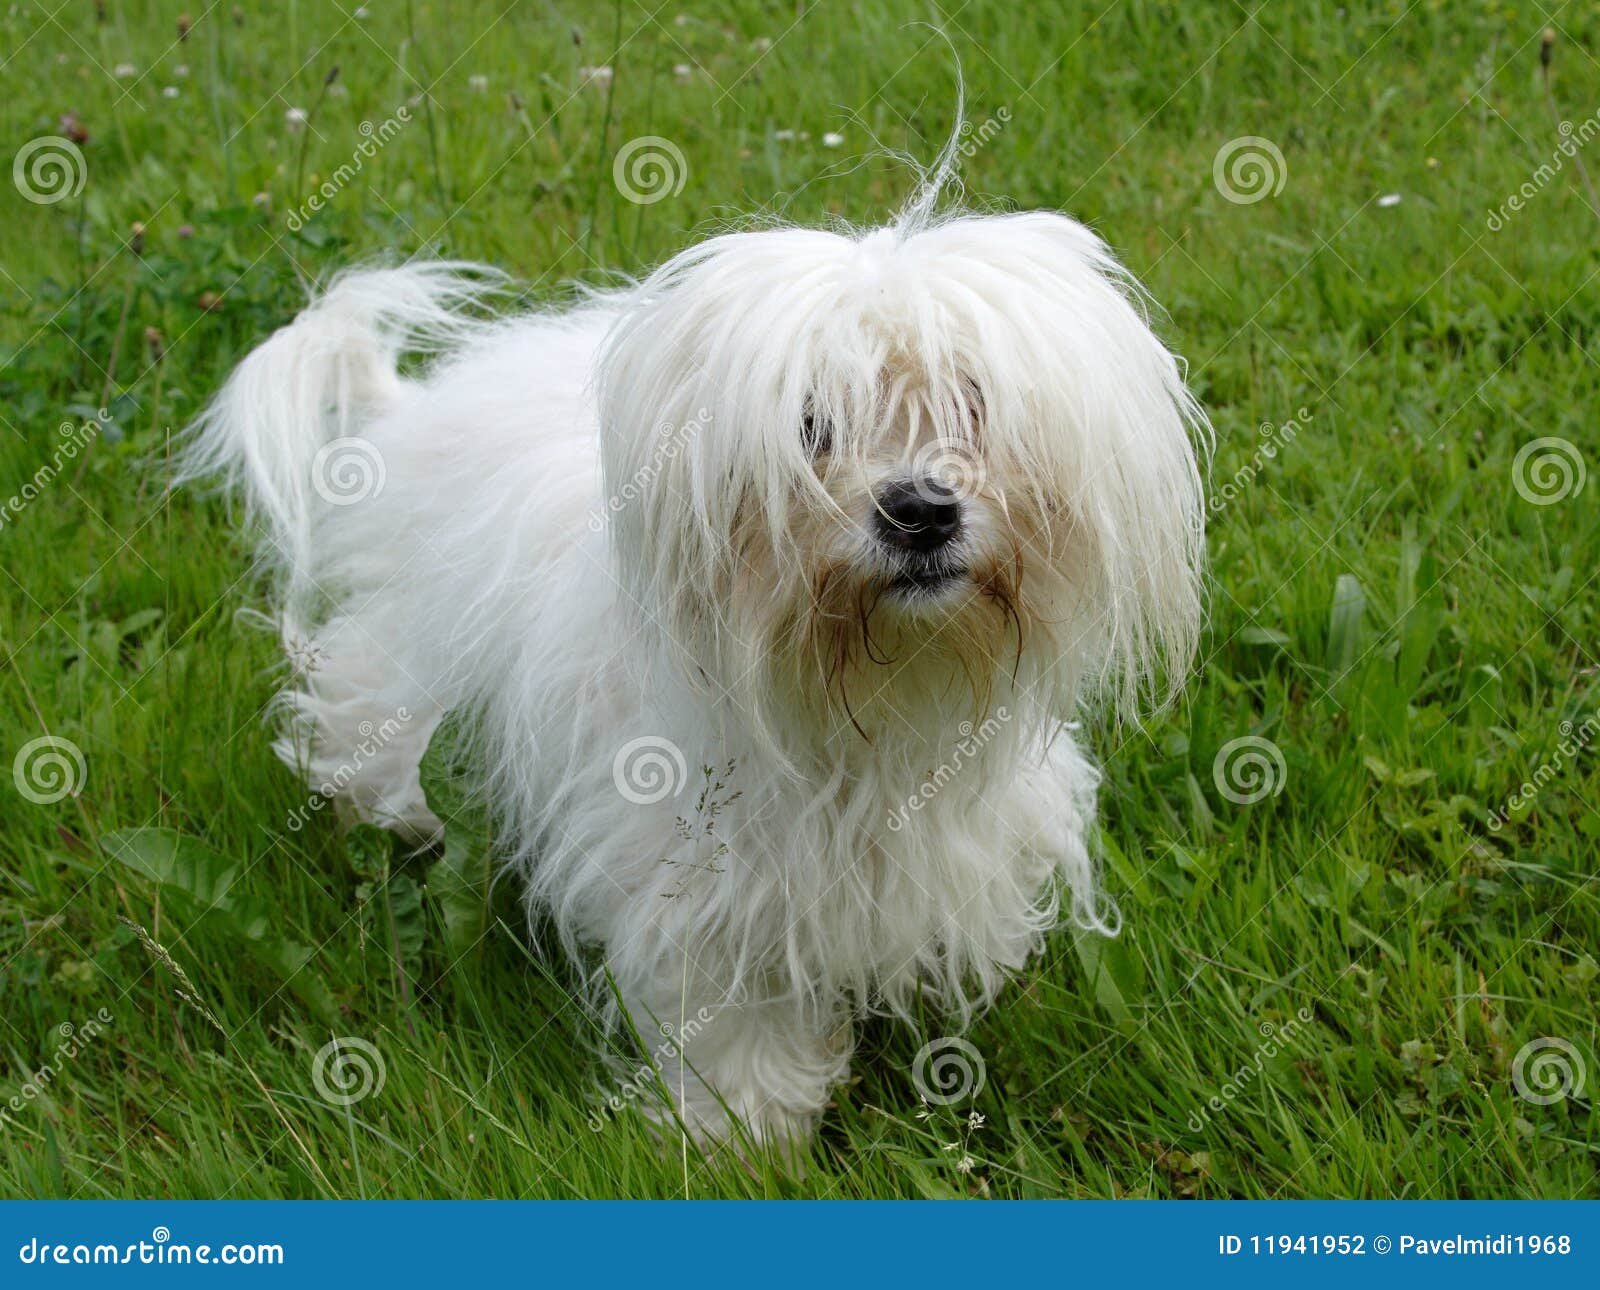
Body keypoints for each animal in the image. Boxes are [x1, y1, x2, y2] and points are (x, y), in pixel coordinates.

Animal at [187, 181, 1203, 1152]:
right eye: (811, 425)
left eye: (974, 405)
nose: (919, 509)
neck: (860, 706)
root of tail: (418, 412)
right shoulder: (701, 880)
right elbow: (734, 1021)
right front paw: (737, 1137)